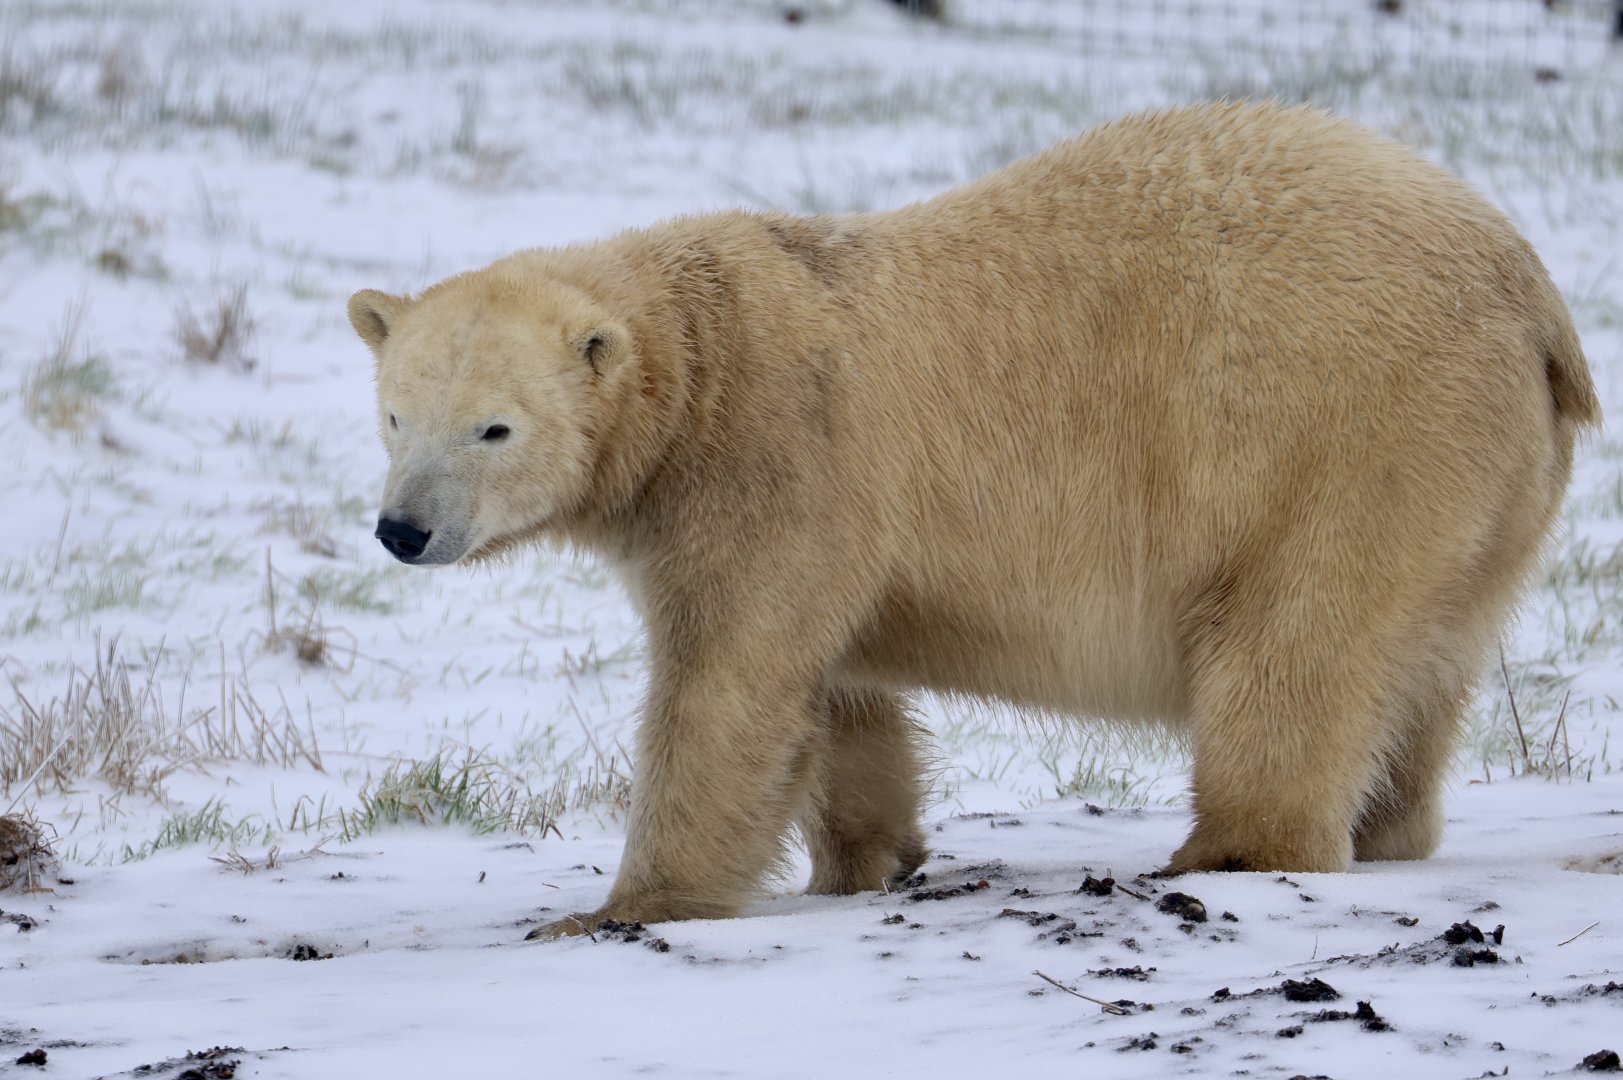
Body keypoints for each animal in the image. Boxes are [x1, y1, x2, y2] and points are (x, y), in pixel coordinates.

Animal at [347, 101, 1600, 939]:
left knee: (1295, 644)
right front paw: (869, 858)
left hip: (1342, 434)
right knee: (1432, 658)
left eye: (493, 428)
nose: (403, 530)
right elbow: (840, 695)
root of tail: (1536, 296)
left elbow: (728, 681)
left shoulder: (777, 458)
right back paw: (1388, 825)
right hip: (1483, 482)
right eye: (396, 413)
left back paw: (1232, 850)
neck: (706, 358)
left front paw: (623, 906)